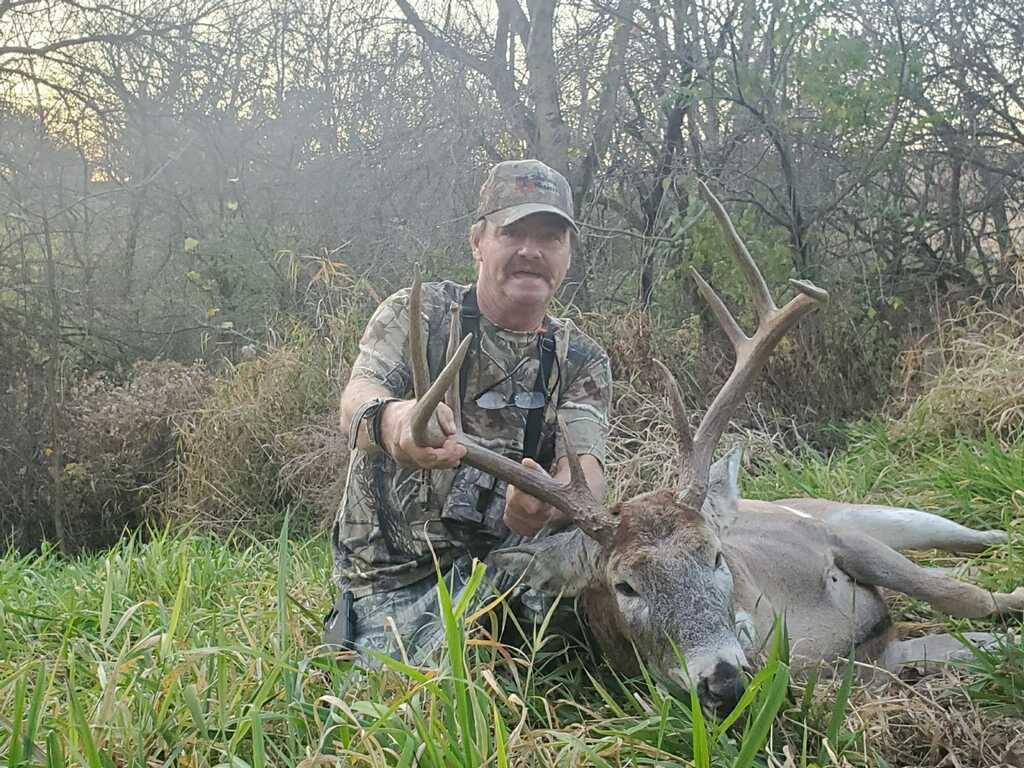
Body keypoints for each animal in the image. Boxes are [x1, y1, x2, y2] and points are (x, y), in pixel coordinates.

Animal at [404, 180, 1023, 712]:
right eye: (625, 585)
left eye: (716, 556)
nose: (723, 680)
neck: (791, 622)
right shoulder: (881, 660)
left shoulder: (833, 539)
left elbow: (967, 598)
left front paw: (1010, 597)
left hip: (869, 514)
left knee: (968, 543)